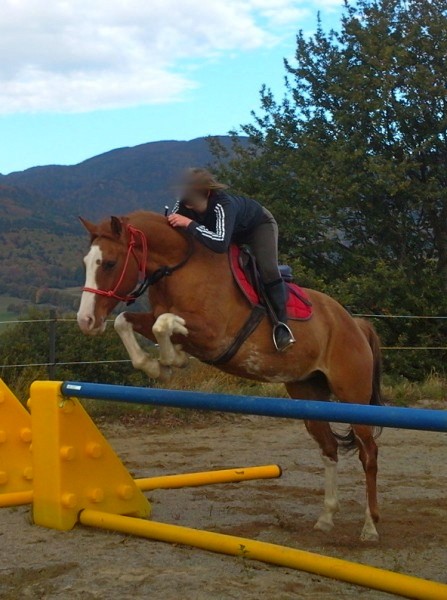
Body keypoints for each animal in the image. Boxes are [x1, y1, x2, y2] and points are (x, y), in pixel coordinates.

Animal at [78, 212, 384, 544]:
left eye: (109, 263)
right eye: (86, 262)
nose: (86, 321)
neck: (179, 268)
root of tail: (354, 323)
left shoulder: (214, 335)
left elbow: (164, 323)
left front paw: (171, 361)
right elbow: (128, 321)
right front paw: (158, 364)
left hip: (353, 397)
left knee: (369, 454)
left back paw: (370, 527)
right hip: (308, 394)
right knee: (329, 449)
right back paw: (326, 518)